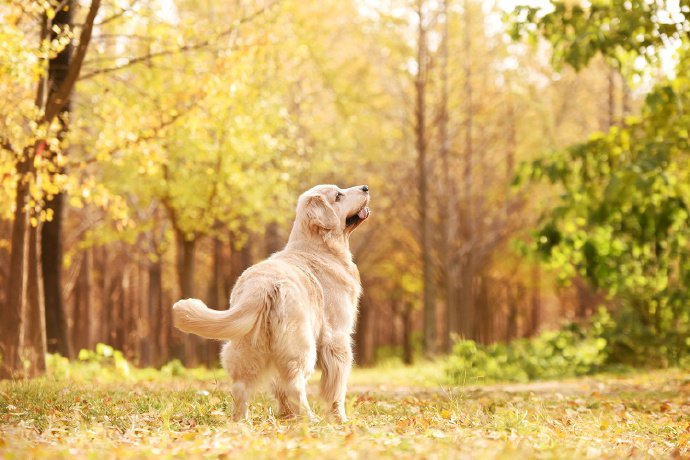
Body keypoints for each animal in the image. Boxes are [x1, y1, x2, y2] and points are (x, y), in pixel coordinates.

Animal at [172, 183, 370, 420]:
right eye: (338, 195)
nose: (365, 187)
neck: (320, 248)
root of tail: (261, 285)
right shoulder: (337, 338)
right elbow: (336, 387)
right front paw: (339, 418)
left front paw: (287, 415)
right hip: (301, 346)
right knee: (295, 384)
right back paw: (309, 418)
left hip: (248, 345)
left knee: (242, 387)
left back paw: (242, 421)